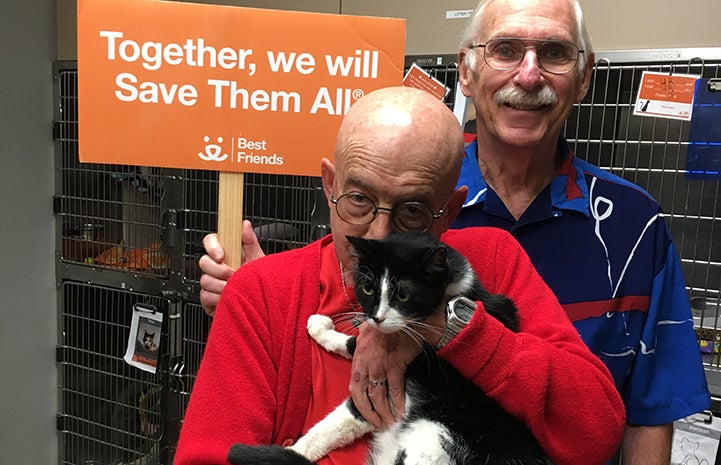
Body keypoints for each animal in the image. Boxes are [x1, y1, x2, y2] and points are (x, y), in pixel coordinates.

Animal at [228, 232, 548, 464]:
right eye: (368, 288)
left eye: (404, 295)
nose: (377, 317)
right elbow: (355, 345)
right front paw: (323, 327)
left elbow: (332, 423)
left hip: (432, 439)